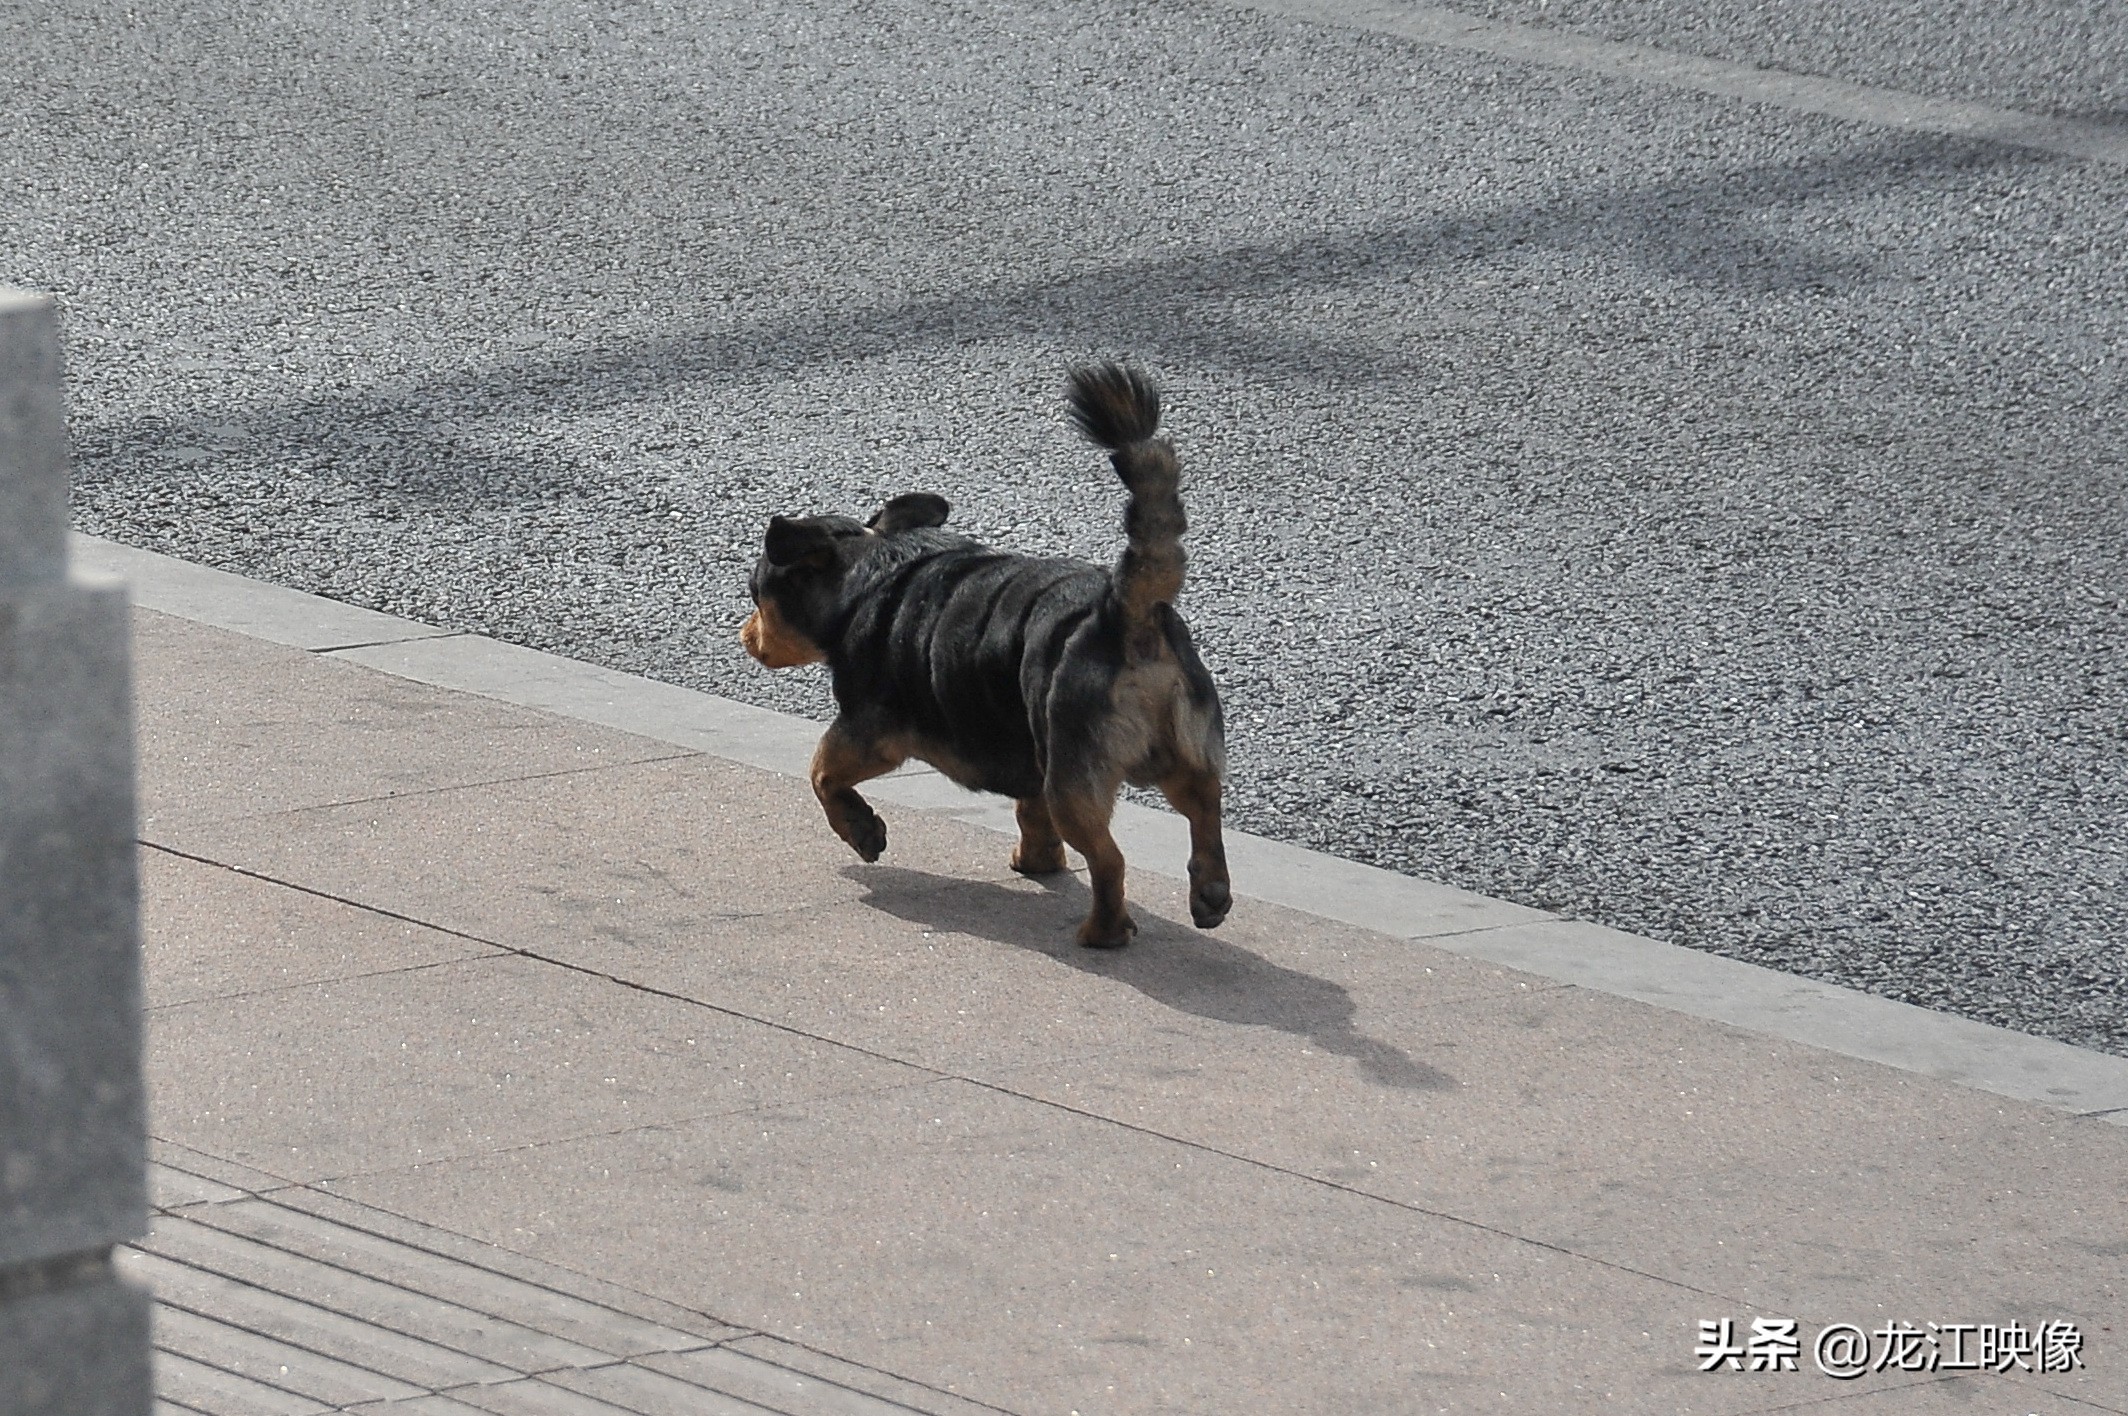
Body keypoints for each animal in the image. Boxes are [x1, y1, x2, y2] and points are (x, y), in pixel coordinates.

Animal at [740, 359, 1234, 945]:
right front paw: (1037, 859)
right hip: (1178, 752)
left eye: (756, 595)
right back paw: (1209, 891)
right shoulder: (1029, 752)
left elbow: (822, 773)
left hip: (1073, 776)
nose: (744, 634)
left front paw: (862, 830)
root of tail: (1126, 611)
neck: (869, 566)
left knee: (1110, 860)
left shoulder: (867, 732)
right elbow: (1031, 811)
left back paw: (1104, 931)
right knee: (1203, 807)